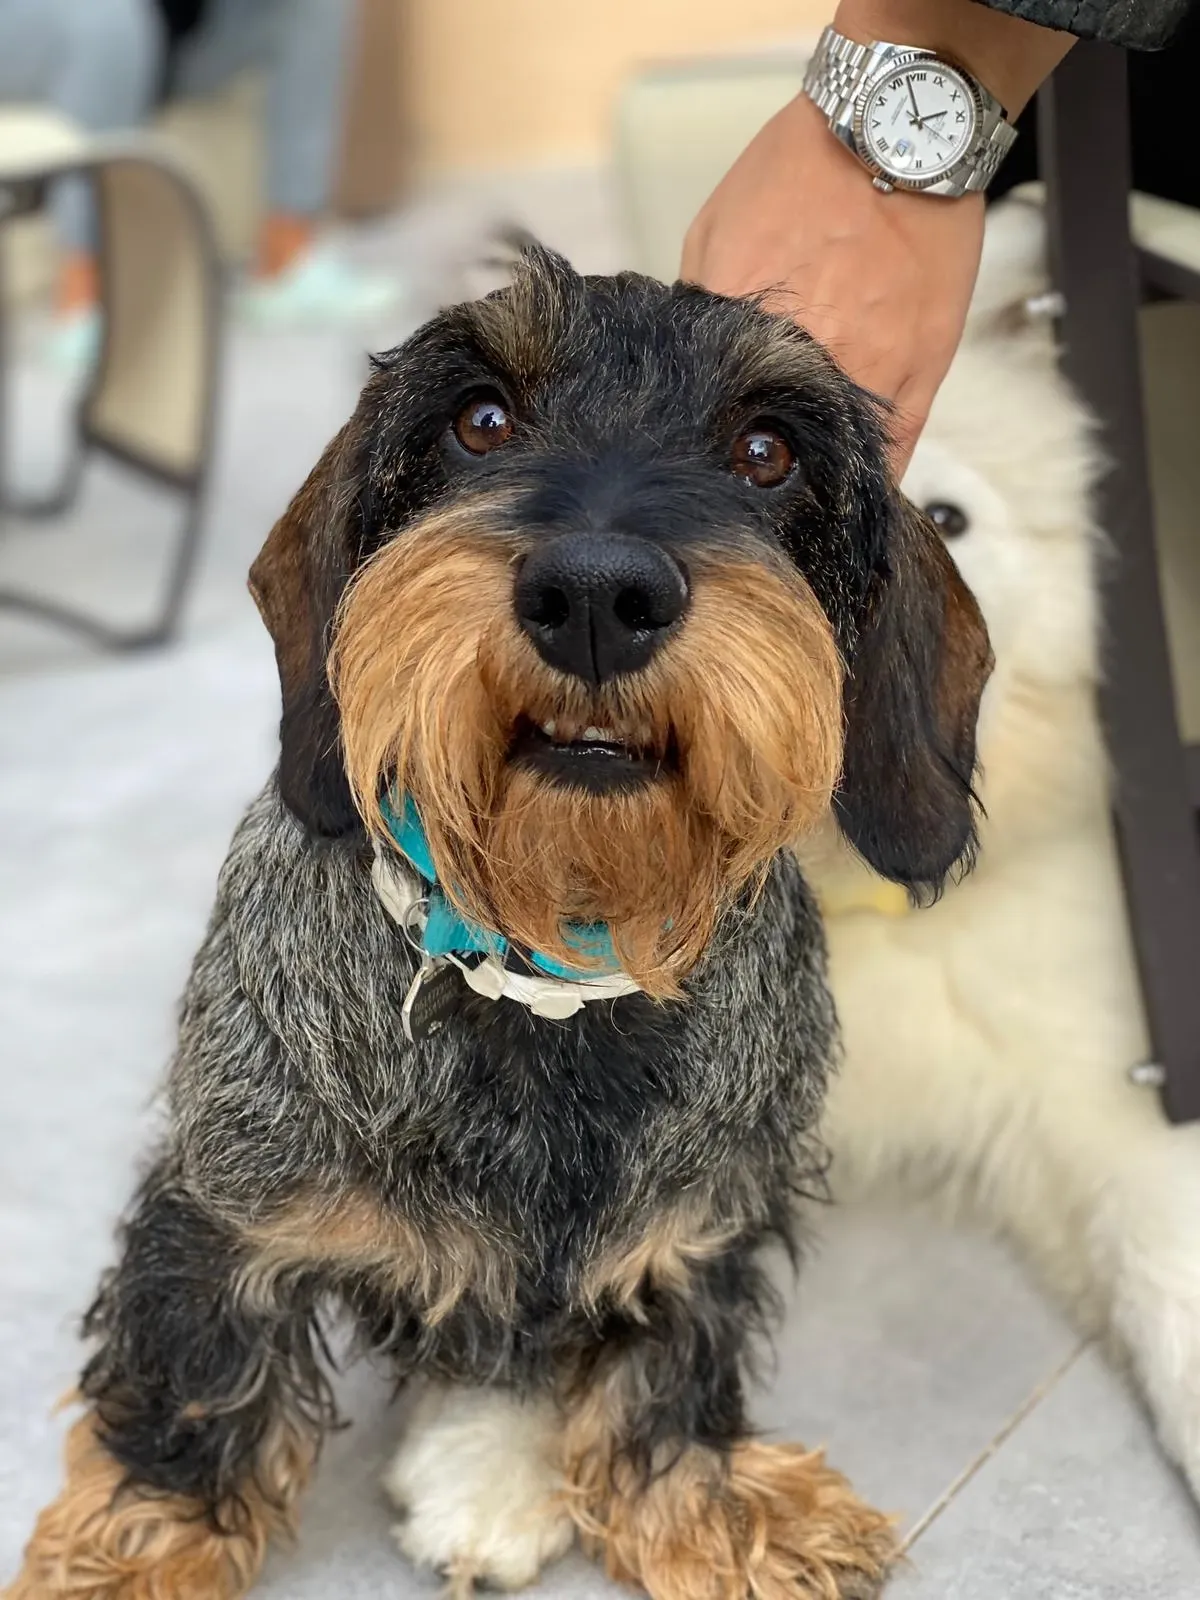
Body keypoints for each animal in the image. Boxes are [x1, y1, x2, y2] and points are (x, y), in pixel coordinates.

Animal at [4, 245, 991, 1600]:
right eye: (479, 420)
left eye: (766, 449)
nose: (598, 593)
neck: (553, 969)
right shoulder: (223, 1207)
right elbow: (195, 1379)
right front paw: (144, 1541)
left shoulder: (703, 1220)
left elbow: (670, 1359)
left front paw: (706, 1497)